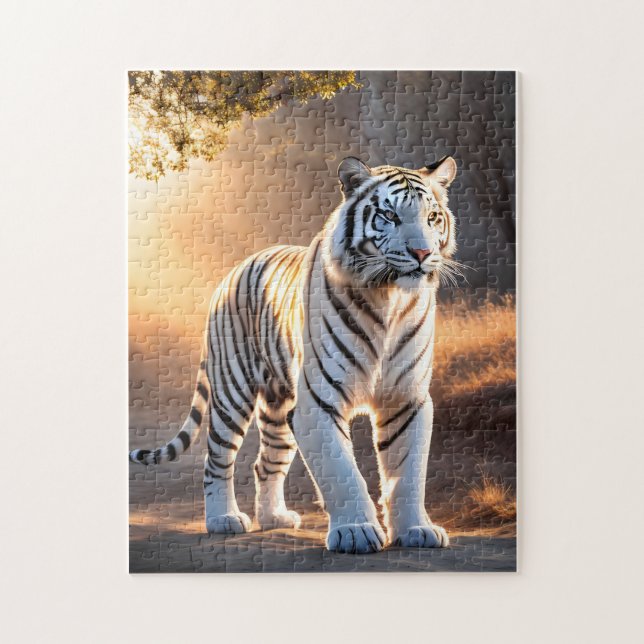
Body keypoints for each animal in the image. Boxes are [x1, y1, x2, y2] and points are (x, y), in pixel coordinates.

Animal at [130, 155, 460, 554]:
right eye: (389, 215)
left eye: (432, 217)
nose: (422, 253)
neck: (390, 297)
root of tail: (234, 270)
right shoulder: (319, 401)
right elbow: (341, 468)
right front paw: (356, 531)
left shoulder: (407, 399)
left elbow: (408, 473)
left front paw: (417, 529)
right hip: (232, 391)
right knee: (216, 458)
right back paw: (223, 519)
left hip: (280, 406)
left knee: (265, 463)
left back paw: (274, 518)